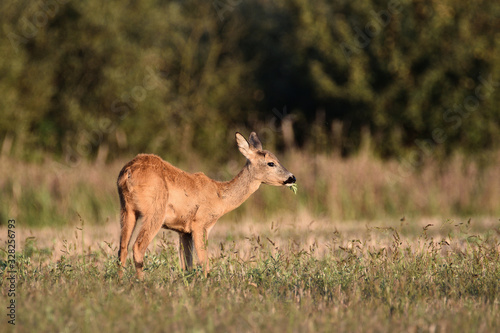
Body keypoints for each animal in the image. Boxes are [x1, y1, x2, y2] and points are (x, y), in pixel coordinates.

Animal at [118, 131, 294, 278]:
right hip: (155, 211)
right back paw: (142, 282)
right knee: (137, 247)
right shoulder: (200, 223)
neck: (220, 196)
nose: (292, 178)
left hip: (127, 209)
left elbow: (187, 264)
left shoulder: (184, 231)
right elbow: (204, 262)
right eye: (271, 163)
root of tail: (128, 172)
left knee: (122, 248)